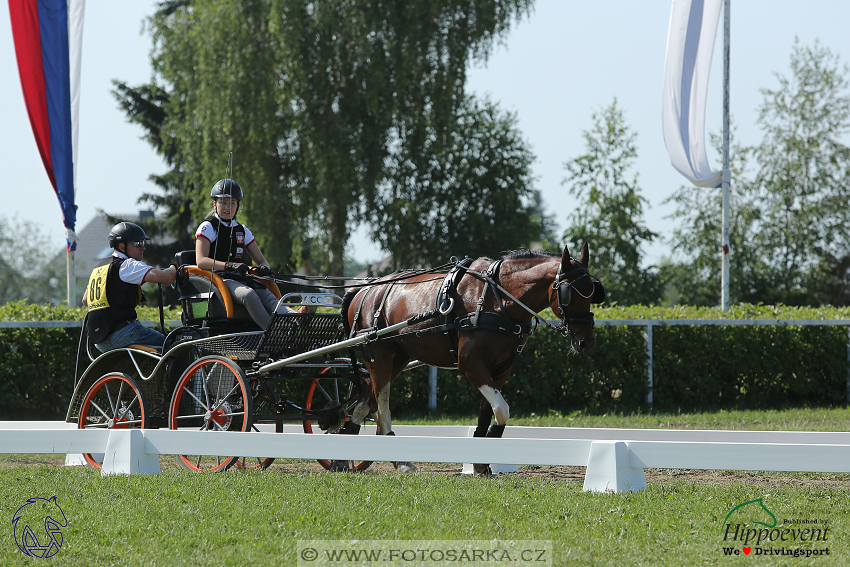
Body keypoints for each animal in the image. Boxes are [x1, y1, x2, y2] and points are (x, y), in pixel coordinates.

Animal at [338, 242, 604, 472]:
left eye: (593, 293)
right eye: (570, 294)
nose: (586, 342)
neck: (498, 299)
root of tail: (364, 289)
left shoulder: (501, 369)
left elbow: (489, 411)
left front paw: (481, 461)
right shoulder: (471, 365)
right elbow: (502, 409)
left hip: (399, 358)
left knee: (364, 402)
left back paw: (344, 453)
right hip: (379, 355)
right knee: (381, 404)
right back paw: (397, 459)